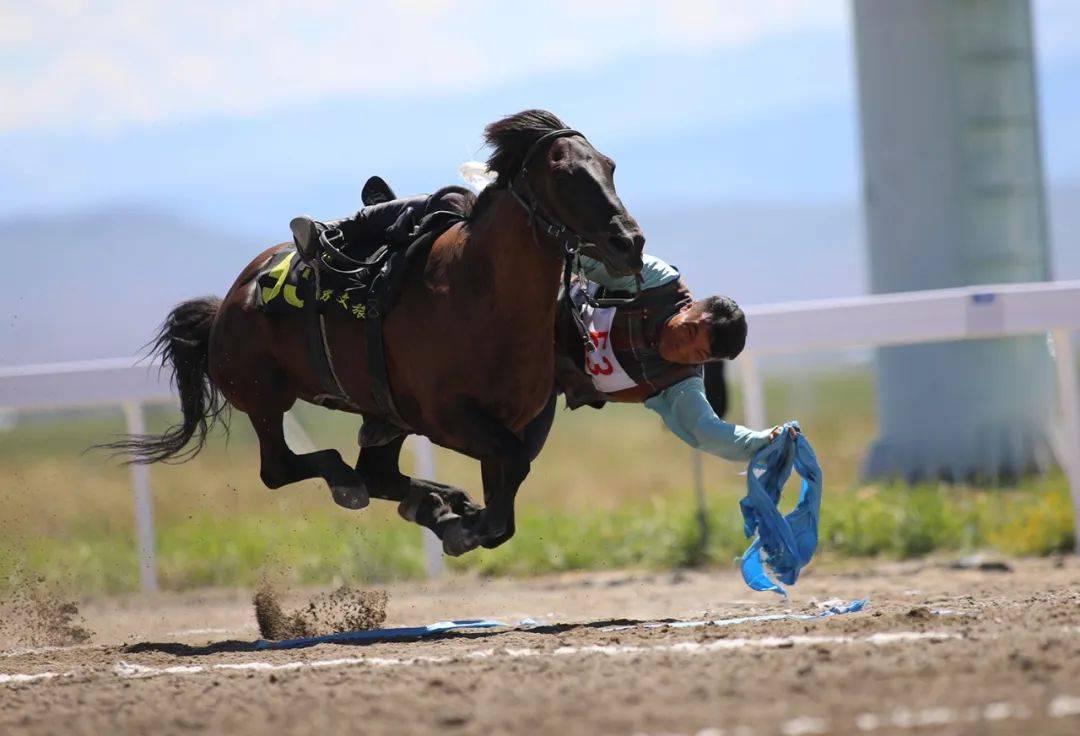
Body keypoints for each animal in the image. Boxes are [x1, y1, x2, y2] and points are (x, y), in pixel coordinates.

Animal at [101, 109, 639, 553]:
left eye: (610, 166)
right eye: (564, 174)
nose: (629, 242)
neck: (479, 291)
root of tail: (226, 305)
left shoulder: (520, 419)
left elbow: (508, 486)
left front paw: (458, 516)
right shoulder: (447, 419)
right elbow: (506, 479)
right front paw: (463, 525)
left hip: (382, 415)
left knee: (376, 475)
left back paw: (429, 499)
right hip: (263, 396)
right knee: (282, 470)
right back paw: (354, 483)